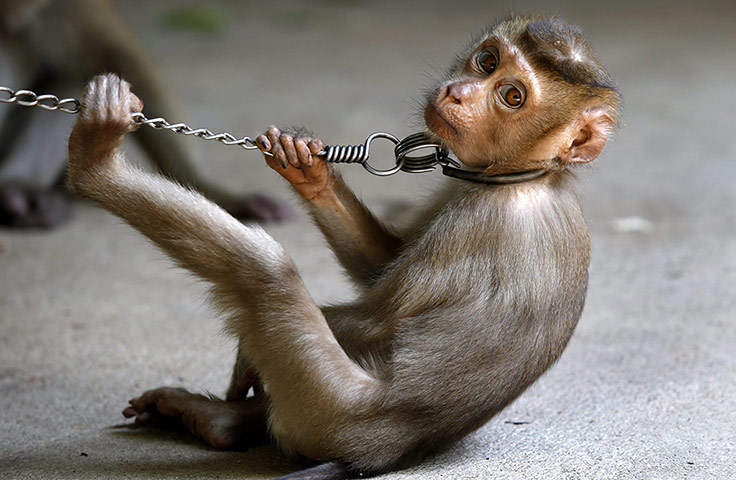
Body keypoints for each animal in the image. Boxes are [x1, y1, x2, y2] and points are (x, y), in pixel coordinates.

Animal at [65, 15, 620, 480]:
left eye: (511, 96)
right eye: (486, 62)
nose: (459, 92)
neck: (533, 175)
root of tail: (378, 453)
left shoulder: (480, 220)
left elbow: (378, 319)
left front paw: (246, 361)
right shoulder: (464, 183)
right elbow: (379, 262)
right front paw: (304, 164)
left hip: (322, 410)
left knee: (265, 270)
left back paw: (95, 163)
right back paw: (212, 420)